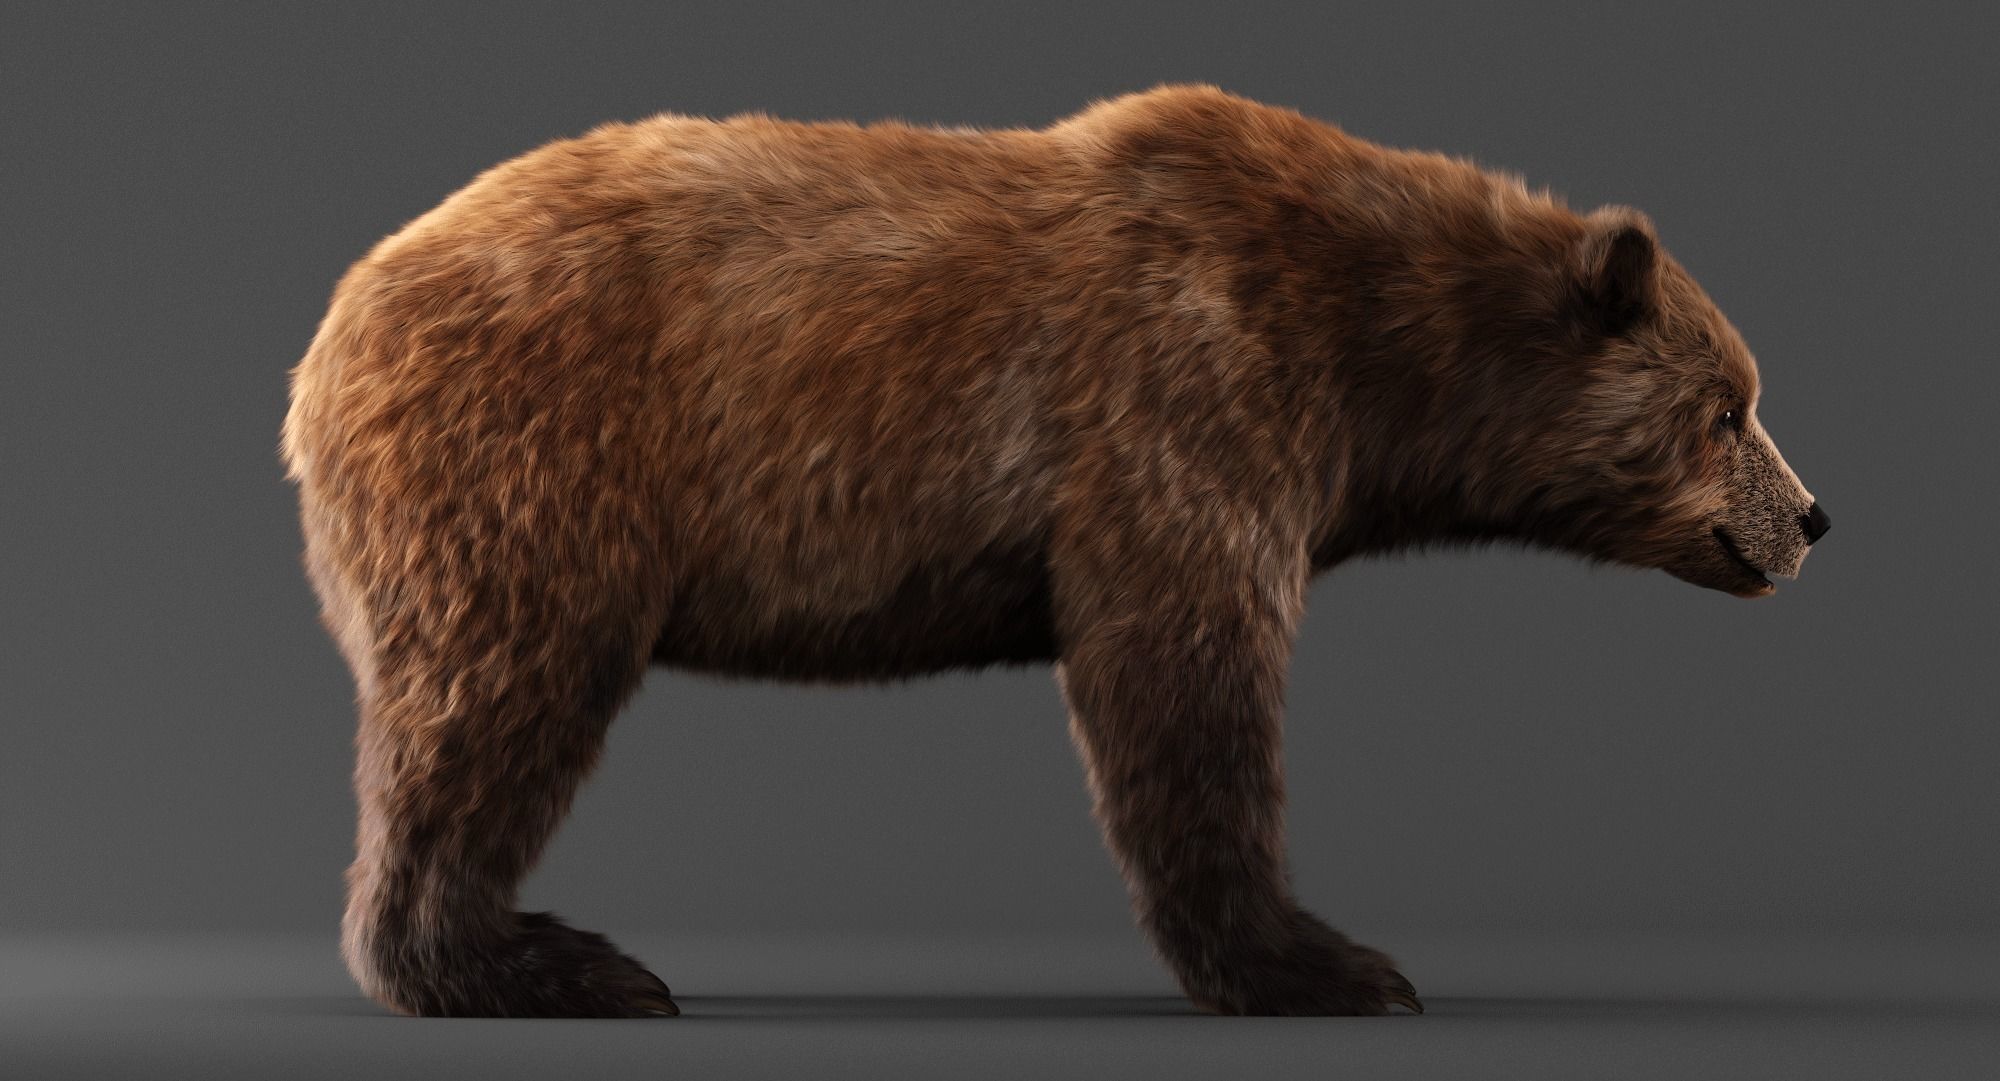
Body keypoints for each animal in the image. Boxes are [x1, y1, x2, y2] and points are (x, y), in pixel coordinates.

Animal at [280, 84, 1829, 1019]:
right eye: (1730, 405)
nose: (1814, 515)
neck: (1374, 347)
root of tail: (333, 330)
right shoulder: (1186, 392)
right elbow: (1183, 681)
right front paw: (1326, 960)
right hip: (534, 457)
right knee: (491, 697)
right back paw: (546, 961)